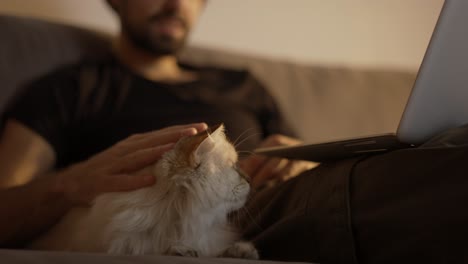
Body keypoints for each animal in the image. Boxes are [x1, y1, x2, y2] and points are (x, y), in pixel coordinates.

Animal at [31, 125, 258, 258]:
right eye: (234, 167)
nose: (250, 178)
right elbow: (157, 248)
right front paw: (180, 250)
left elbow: (214, 250)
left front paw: (242, 251)